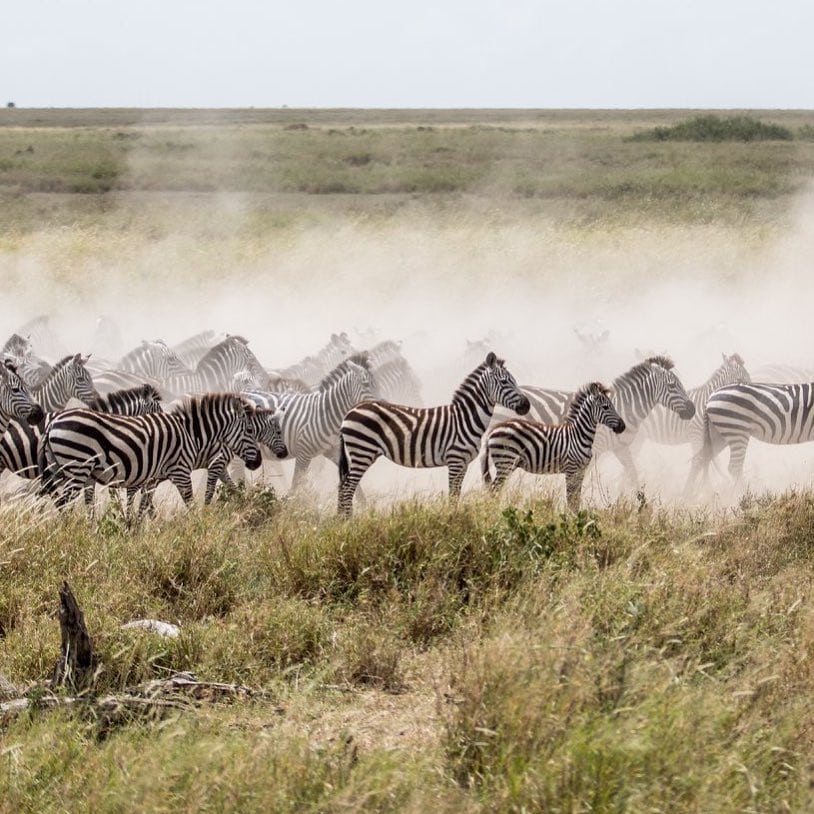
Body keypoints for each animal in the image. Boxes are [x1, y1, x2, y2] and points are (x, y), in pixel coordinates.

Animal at [39, 394, 262, 520]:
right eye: (250, 430)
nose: (258, 462)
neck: (190, 434)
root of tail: (53, 422)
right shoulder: (180, 472)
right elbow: (189, 504)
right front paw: (196, 531)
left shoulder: (152, 478)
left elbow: (143, 506)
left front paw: (134, 530)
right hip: (77, 467)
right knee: (64, 503)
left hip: (60, 469)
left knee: (59, 501)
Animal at [336, 350, 532, 516]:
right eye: (505, 381)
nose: (526, 405)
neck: (465, 418)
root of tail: (349, 411)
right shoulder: (455, 460)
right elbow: (452, 495)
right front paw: (453, 520)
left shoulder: (463, 463)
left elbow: (457, 494)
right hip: (362, 452)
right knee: (347, 488)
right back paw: (349, 522)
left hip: (359, 453)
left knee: (342, 486)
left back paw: (341, 521)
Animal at [482, 384, 628, 510]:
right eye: (605, 407)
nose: (622, 426)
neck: (578, 435)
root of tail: (492, 431)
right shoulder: (571, 469)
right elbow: (570, 499)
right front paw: (571, 520)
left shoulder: (580, 472)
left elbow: (576, 499)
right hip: (505, 461)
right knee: (494, 490)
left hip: (507, 464)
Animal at [684, 382, 814, 498]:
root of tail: (709, 398)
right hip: (737, 430)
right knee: (734, 467)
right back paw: (746, 498)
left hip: (717, 435)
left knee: (699, 458)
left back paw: (687, 496)